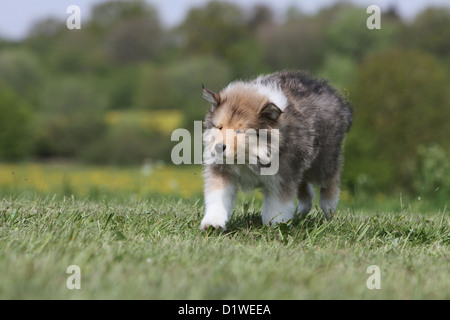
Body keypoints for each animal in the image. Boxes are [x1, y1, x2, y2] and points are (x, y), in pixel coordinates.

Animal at [200, 70, 352, 230]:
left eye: (240, 131)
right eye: (220, 127)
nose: (218, 147)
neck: (249, 156)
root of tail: (337, 99)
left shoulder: (281, 177)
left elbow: (277, 205)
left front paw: (277, 226)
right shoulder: (222, 171)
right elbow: (217, 196)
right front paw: (213, 223)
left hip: (322, 162)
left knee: (330, 181)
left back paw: (329, 210)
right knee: (305, 189)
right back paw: (303, 212)